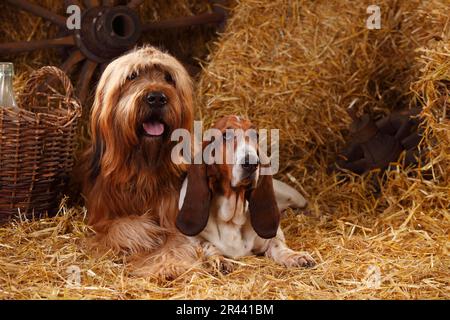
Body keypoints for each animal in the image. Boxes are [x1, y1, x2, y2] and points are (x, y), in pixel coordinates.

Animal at [83, 46, 199, 278]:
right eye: (132, 76)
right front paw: (146, 230)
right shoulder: (100, 219)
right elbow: (121, 227)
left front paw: (168, 265)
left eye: (168, 78)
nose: (156, 97)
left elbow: (178, 241)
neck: (144, 169)